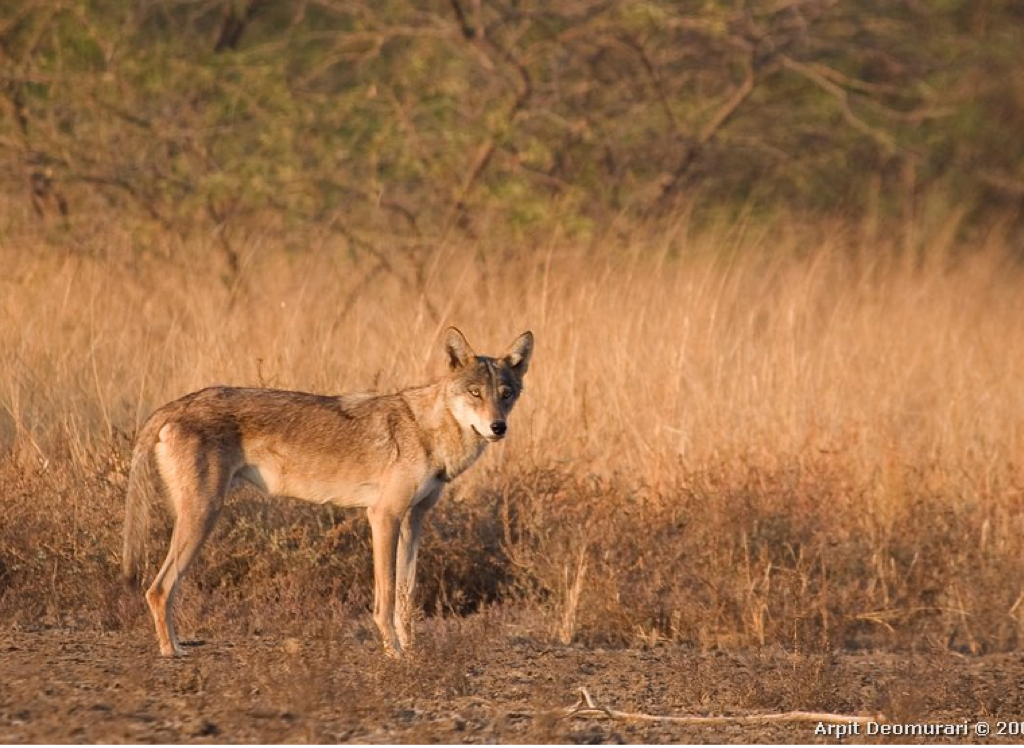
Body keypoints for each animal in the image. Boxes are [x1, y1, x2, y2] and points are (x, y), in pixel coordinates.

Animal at [123, 325, 532, 651]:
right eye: (475, 393)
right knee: (157, 589)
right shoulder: (383, 516)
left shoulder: (414, 520)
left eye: (506, 394)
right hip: (203, 516)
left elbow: (406, 595)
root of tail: (175, 405)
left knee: (161, 589)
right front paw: (393, 654)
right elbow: (385, 598)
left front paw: (413, 652)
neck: (428, 432)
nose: (498, 427)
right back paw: (171, 652)